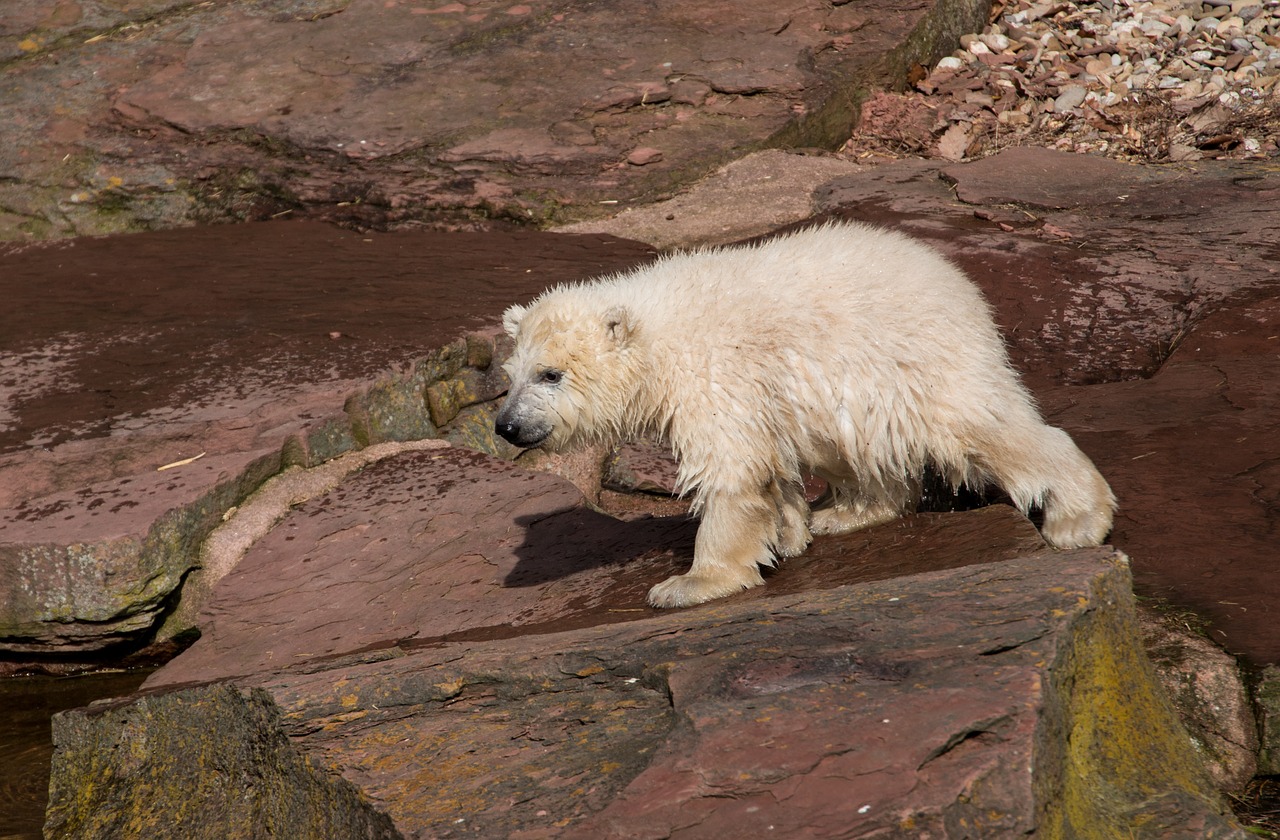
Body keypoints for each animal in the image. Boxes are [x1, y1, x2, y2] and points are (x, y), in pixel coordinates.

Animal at [494, 220, 1116, 606]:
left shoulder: (715, 376)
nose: (507, 426)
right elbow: (770, 466)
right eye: (512, 375)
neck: (658, 334)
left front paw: (688, 584)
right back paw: (843, 512)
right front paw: (790, 532)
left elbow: (731, 470)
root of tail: (962, 288)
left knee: (981, 426)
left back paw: (1078, 518)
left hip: (913, 361)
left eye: (551, 374)